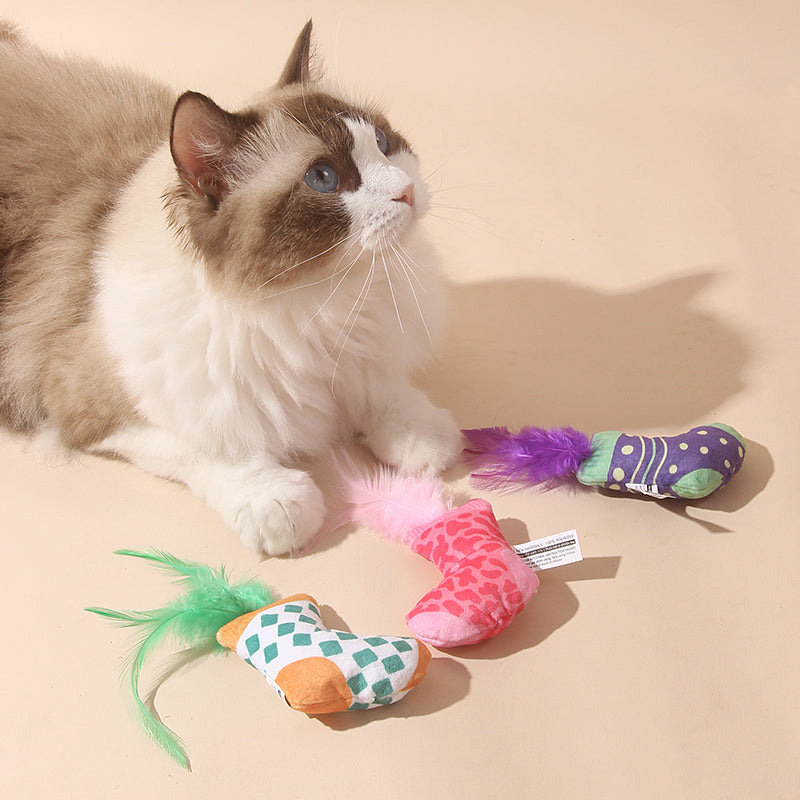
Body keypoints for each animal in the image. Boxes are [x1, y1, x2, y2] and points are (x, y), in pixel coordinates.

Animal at [0, 20, 460, 556]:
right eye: (324, 177)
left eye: (383, 143)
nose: (405, 191)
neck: (322, 298)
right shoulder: (83, 400)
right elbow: (211, 448)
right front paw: (276, 502)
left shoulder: (363, 355)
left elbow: (382, 392)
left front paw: (419, 434)